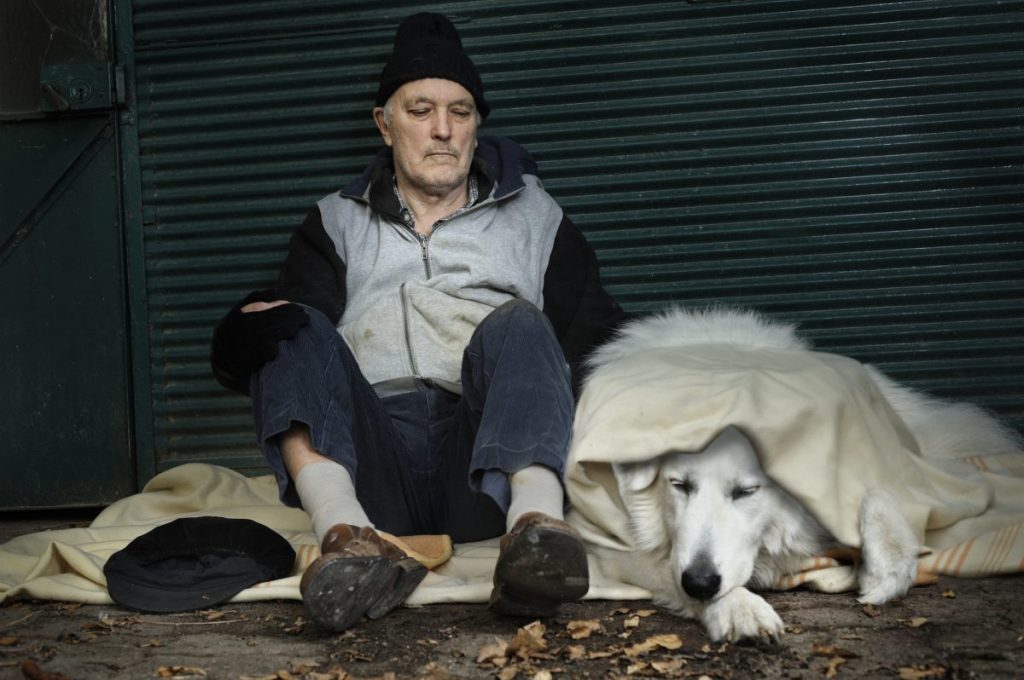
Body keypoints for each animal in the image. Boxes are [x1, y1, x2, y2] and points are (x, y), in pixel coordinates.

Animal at [585, 307, 1024, 643]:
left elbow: (875, 488)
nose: (700, 582)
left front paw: (889, 564)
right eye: (679, 485)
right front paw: (738, 606)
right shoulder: (611, 543)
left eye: (746, 491)